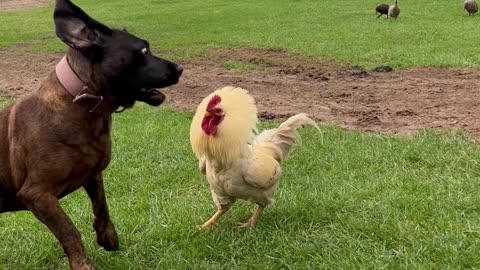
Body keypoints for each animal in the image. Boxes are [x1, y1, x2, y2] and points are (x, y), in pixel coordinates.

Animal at [0, 1, 183, 268]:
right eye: (143, 50)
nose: (180, 68)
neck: (81, 103)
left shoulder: (93, 173)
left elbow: (101, 205)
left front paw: (107, 235)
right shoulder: (37, 195)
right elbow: (68, 230)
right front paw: (82, 262)